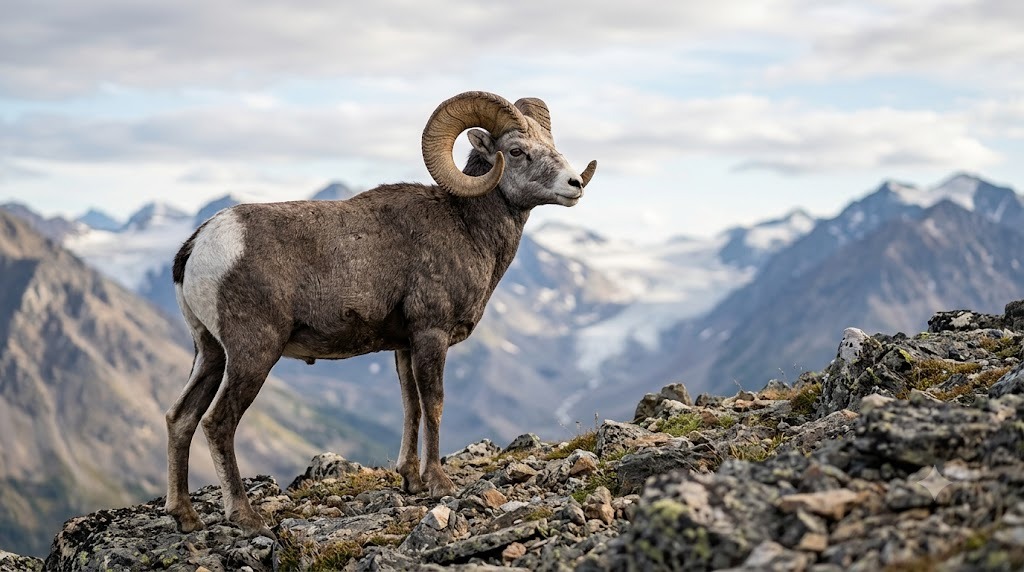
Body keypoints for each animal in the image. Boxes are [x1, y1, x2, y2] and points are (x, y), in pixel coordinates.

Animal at [163, 91, 597, 537]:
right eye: (516, 151)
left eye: (551, 144)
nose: (575, 185)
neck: (466, 227)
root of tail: (200, 245)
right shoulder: (431, 336)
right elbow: (434, 403)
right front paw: (439, 484)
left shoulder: (404, 347)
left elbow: (411, 406)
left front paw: (411, 480)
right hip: (253, 354)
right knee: (218, 423)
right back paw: (246, 517)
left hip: (210, 353)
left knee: (181, 418)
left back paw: (185, 516)